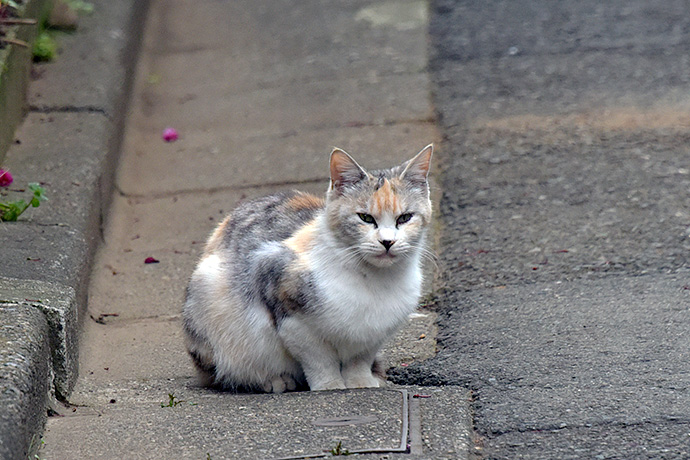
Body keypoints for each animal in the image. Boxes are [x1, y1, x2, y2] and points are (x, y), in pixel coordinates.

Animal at [183, 144, 430, 392]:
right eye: (365, 218)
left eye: (405, 218)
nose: (387, 242)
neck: (375, 280)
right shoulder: (289, 313)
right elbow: (319, 359)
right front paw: (330, 385)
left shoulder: (374, 333)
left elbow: (359, 359)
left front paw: (360, 382)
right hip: (210, 297)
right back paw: (276, 381)